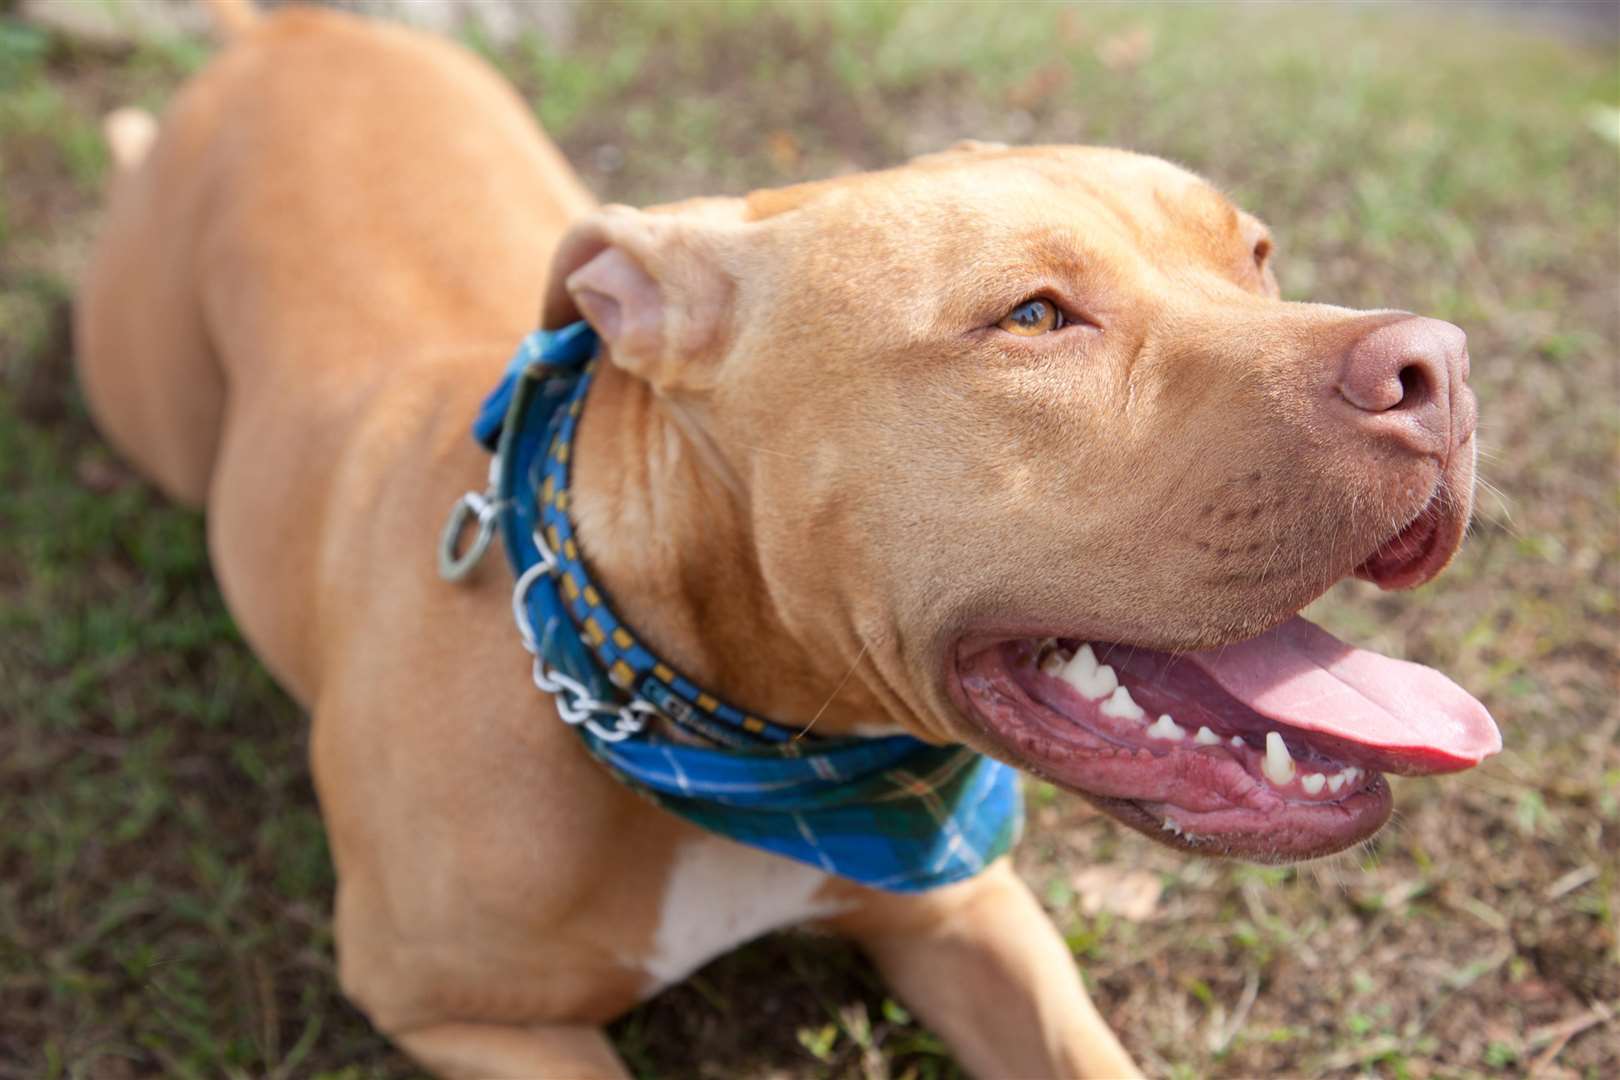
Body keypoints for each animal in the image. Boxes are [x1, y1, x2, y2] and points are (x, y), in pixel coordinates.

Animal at [72, 2, 1490, 1080]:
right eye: (1033, 318)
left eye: (1256, 254)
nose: (1439, 367)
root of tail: (292, 28)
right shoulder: (461, 1011)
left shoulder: (971, 912)